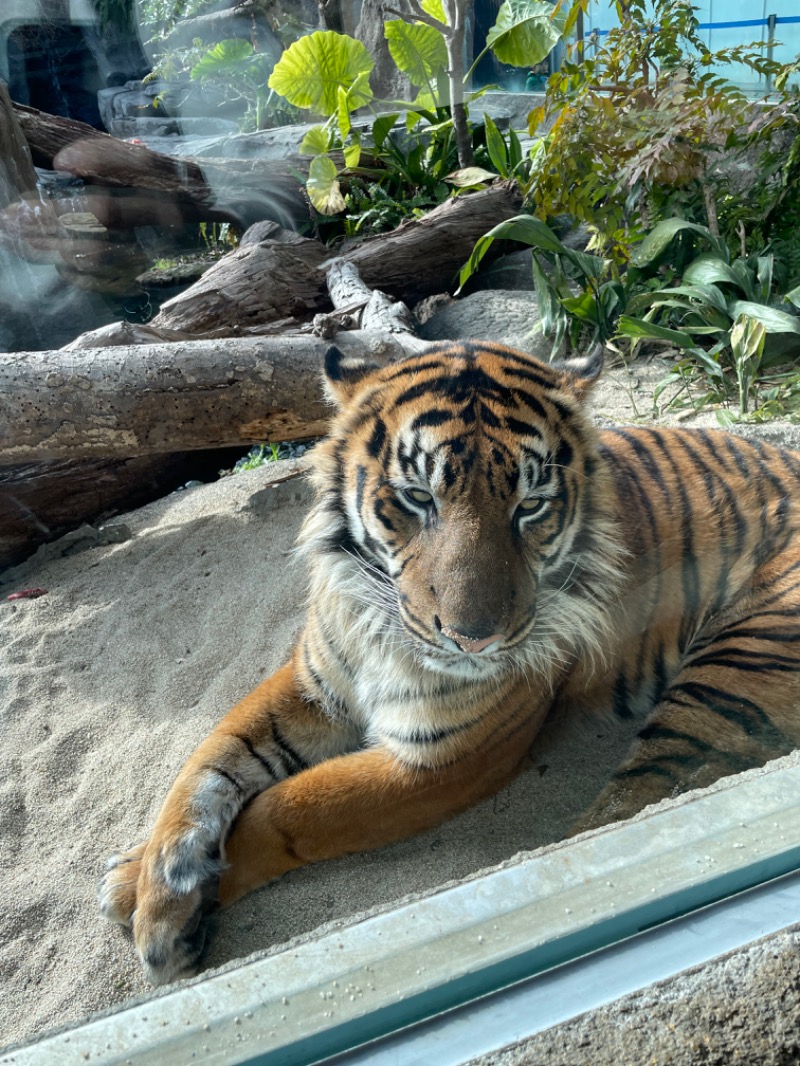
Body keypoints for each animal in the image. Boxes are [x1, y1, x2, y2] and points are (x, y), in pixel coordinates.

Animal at [101, 338, 800, 980]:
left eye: (530, 506)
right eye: (416, 498)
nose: (473, 639)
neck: (380, 633)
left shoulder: (442, 759)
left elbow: (290, 807)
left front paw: (167, 909)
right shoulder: (312, 683)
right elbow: (209, 763)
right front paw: (151, 887)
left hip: (732, 668)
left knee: (632, 809)